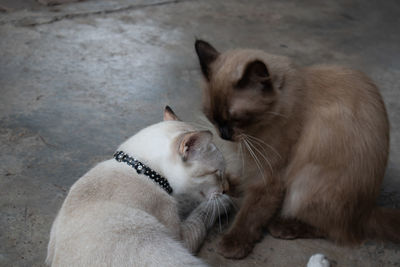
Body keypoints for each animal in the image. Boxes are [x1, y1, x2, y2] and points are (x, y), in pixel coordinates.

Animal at [45, 107, 230, 267]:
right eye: (218, 173)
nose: (225, 189)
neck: (141, 168)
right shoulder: (181, 238)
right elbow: (204, 212)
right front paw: (226, 201)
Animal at [195, 39, 400, 260]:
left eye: (237, 119)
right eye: (212, 117)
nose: (224, 134)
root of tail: (368, 210)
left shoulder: (269, 174)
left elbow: (252, 212)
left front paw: (232, 244)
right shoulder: (251, 160)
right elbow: (239, 181)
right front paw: (226, 186)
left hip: (305, 183)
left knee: (334, 230)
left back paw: (283, 227)